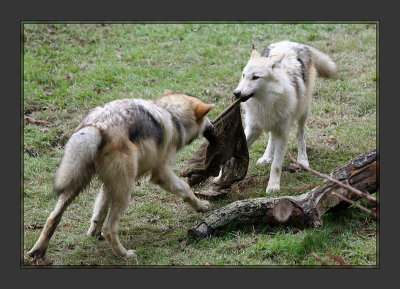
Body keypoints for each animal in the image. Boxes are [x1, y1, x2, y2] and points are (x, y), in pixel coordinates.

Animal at [28, 89, 214, 258]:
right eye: (207, 117)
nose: (212, 125)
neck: (173, 116)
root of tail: (98, 126)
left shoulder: (107, 185)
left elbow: (99, 212)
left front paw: (93, 233)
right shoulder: (162, 173)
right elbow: (186, 189)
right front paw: (202, 206)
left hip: (77, 185)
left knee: (53, 218)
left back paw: (37, 251)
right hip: (125, 190)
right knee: (110, 228)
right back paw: (125, 254)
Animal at [233, 40, 336, 192]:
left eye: (255, 77)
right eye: (243, 75)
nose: (236, 93)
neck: (265, 103)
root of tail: (295, 43)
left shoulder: (283, 133)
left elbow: (276, 165)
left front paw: (273, 186)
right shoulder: (253, 128)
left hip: (303, 111)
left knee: (300, 134)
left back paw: (302, 159)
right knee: (271, 137)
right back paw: (266, 157)